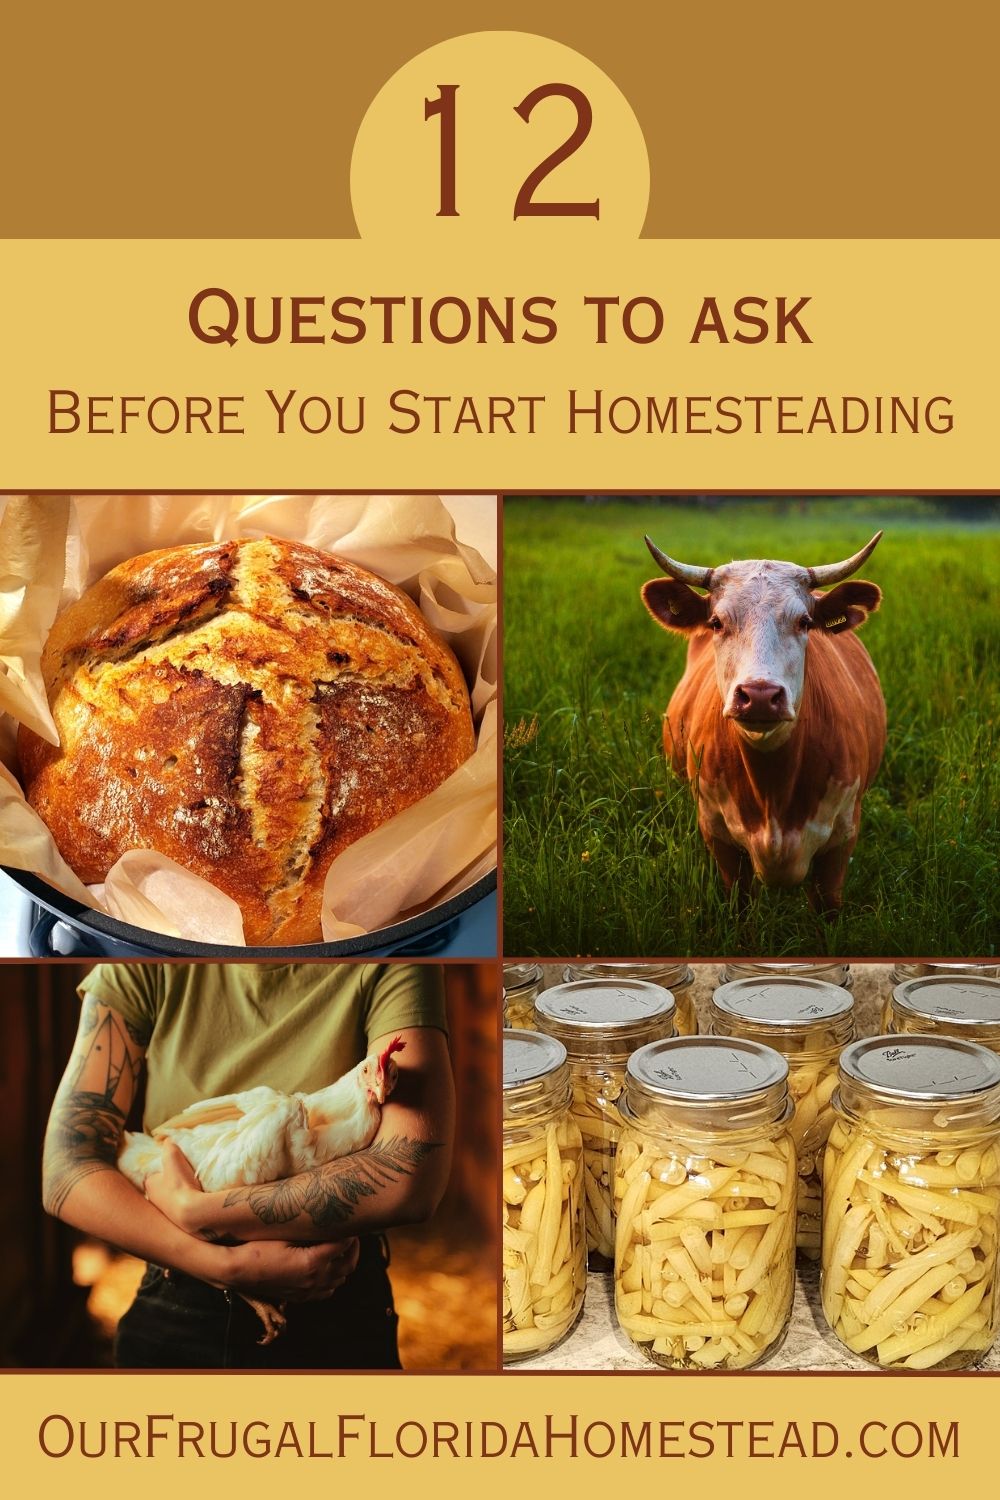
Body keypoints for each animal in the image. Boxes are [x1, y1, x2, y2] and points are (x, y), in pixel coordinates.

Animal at [641, 540, 881, 912]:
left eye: (805, 621)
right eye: (716, 622)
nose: (759, 695)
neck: (773, 793)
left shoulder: (841, 840)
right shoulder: (719, 838)